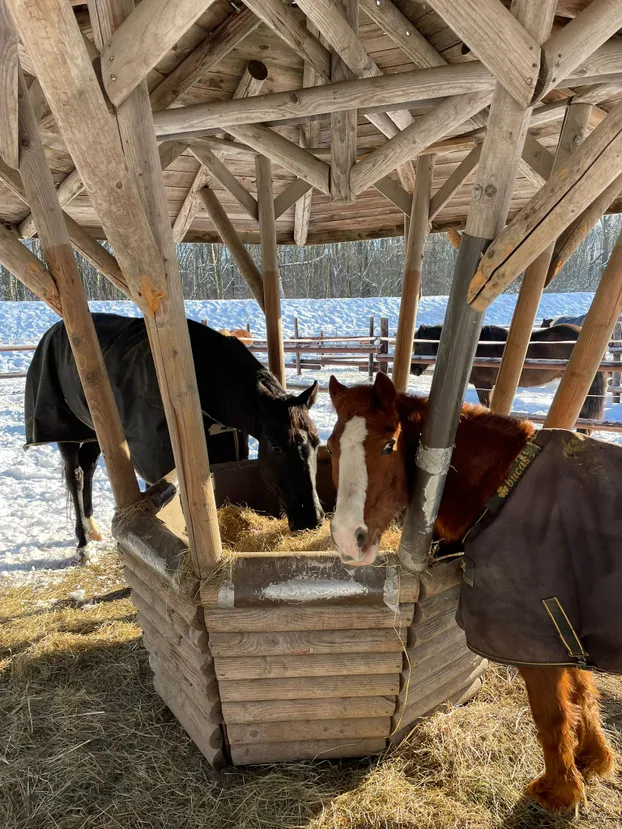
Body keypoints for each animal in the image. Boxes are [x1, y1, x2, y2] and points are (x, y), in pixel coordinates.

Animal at [25, 314, 324, 552]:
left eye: (317, 442)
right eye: (276, 446)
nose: (312, 518)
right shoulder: (157, 463)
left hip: (94, 432)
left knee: (88, 468)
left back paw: (94, 529)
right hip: (66, 432)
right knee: (75, 476)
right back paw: (83, 543)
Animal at [330, 376, 616, 816]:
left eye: (388, 445)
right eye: (329, 447)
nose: (348, 539)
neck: (506, 485)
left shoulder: (536, 639)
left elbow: (551, 713)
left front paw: (558, 792)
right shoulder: (565, 630)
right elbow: (581, 689)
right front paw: (593, 759)